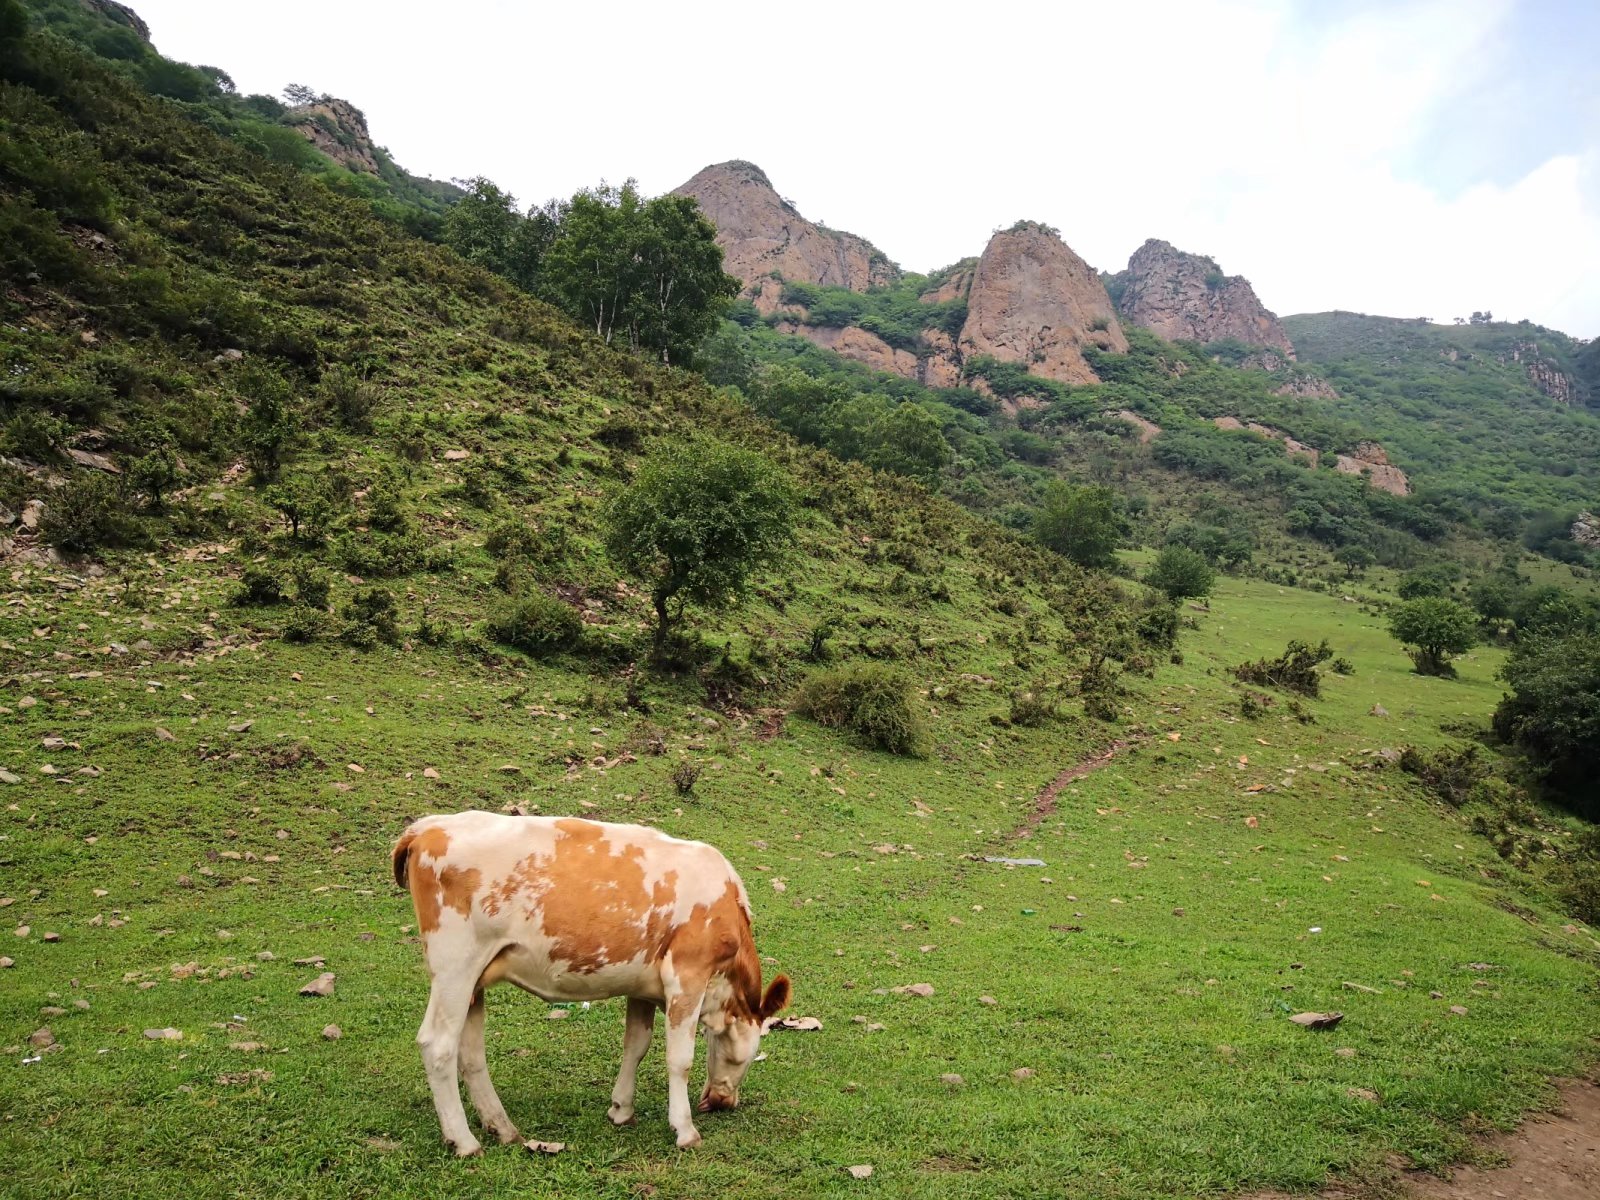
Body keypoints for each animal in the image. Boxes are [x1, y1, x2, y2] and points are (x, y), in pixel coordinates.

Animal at [393, 812, 793, 1152]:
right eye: (749, 1054)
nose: (725, 1103)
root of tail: (427, 826)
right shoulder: (686, 975)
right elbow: (680, 1059)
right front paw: (684, 1129)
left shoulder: (643, 986)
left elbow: (635, 1045)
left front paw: (621, 1109)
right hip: (455, 964)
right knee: (438, 1044)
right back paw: (464, 1141)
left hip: (474, 977)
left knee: (471, 1052)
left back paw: (502, 1127)